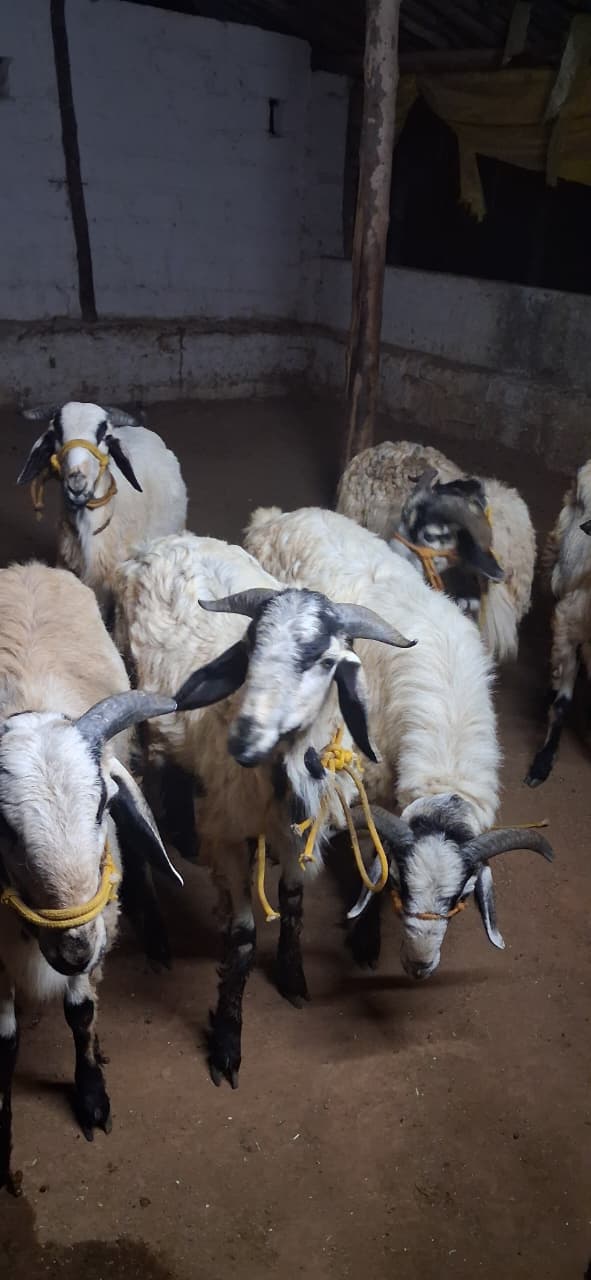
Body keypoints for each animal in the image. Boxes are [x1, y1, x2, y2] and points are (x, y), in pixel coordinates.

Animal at [0, 562, 180, 1195]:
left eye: (104, 803)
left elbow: (80, 1014)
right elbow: (4, 1042)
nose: (77, 951)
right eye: (2, 825)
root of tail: (29, 570)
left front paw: (92, 1095)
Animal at [114, 532, 413, 1088]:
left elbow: (293, 905)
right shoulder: (232, 840)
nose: (243, 741)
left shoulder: (301, 835)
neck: (281, 775)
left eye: (323, 661)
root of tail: (162, 541)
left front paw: (293, 976)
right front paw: (227, 1042)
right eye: (252, 648)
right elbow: (243, 939)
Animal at [245, 505, 552, 979]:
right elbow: (374, 852)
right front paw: (366, 938)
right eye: (403, 885)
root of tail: (274, 518)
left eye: (461, 896)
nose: (419, 966)